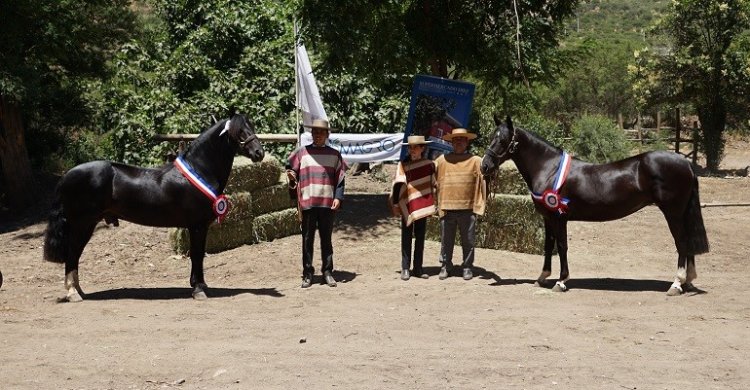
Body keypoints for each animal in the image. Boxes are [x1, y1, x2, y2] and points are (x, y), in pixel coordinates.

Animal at [44, 112, 266, 302]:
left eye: (252, 126)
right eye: (239, 131)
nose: (259, 153)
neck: (199, 171)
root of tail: (67, 175)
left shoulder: (199, 227)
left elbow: (199, 255)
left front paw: (200, 285)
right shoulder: (197, 226)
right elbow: (196, 255)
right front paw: (199, 290)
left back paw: (79, 291)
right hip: (82, 224)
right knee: (72, 254)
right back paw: (73, 293)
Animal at [482, 116, 712, 296]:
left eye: (502, 139)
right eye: (491, 136)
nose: (485, 165)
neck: (549, 168)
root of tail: (686, 163)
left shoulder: (559, 217)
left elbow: (562, 246)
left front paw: (561, 281)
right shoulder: (547, 217)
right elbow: (548, 246)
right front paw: (542, 277)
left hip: (673, 213)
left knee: (682, 242)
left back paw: (676, 283)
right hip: (681, 213)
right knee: (688, 242)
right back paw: (688, 281)